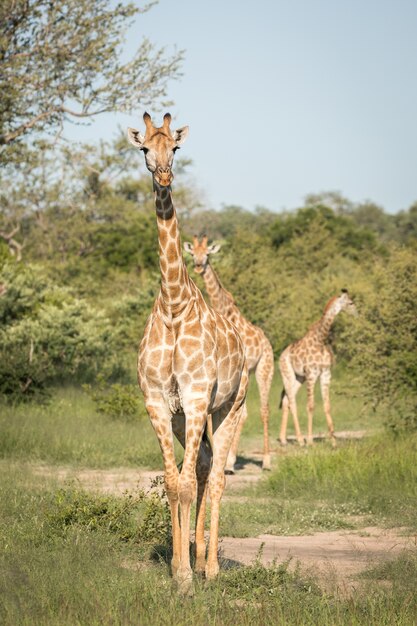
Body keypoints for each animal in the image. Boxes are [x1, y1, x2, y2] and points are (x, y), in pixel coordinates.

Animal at [127, 113, 247, 588]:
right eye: (144, 148)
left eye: (175, 148)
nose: (163, 176)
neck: (174, 304)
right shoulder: (159, 402)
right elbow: (172, 482)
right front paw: (179, 570)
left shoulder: (197, 398)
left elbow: (187, 483)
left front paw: (186, 576)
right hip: (186, 417)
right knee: (201, 468)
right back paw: (196, 560)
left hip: (229, 406)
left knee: (215, 478)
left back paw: (210, 568)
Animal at [184, 236, 274, 470]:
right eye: (192, 253)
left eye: (207, 253)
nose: (198, 265)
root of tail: (267, 342)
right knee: (245, 412)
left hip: (263, 369)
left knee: (263, 410)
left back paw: (265, 461)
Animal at [278, 290, 356, 446]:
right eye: (350, 303)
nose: (357, 313)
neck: (320, 341)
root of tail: (281, 355)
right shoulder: (311, 375)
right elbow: (311, 406)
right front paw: (310, 441)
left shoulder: (326, 374)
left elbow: (327, 405)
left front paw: (333, 441)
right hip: (287, 374)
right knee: (292, 402)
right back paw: (300, 440)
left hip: (299, 378)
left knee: (286, 400)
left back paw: (283, 439)